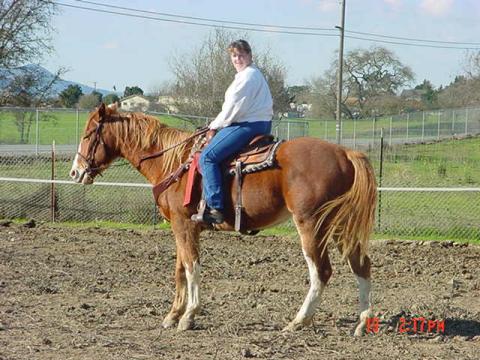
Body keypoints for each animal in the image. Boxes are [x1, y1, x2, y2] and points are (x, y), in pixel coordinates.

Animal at [70, 103, 378, 334]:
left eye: (88, 134)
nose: (75, 172)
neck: (173, 162)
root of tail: (345, 153)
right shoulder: (183, 227)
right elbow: (180, 268)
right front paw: (172, 315)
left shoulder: (184, 225)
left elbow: (192, 267)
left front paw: (188, 317)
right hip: (339, 226)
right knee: (360, 265)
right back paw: (362, 323)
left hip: (311, 226)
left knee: (321, 272)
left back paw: (297, 321)